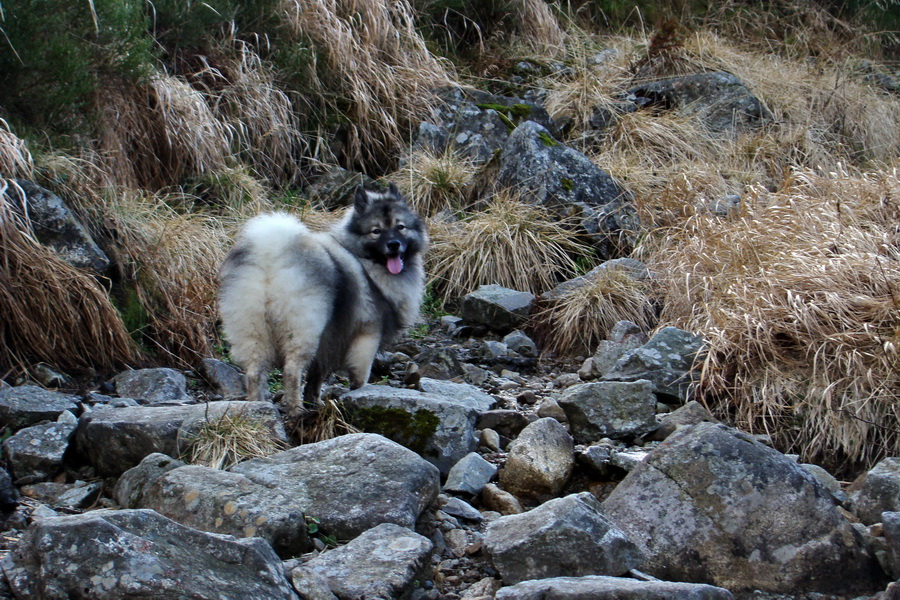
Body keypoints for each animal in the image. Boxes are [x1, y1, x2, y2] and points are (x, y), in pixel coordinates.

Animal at [219, 184, 428, 418]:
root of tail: (270, 252)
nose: (394, 244)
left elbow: (316, 376)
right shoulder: (366, 335)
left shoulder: (330, 342)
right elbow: (359, 375)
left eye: (400, 227)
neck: (367, 264)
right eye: (376, 231)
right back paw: (296, 410)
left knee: (254, 372)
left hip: (254, 330)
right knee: (291, 371)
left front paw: (315, 401)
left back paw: (258, 406)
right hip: (304, 330)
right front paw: (360, 394)